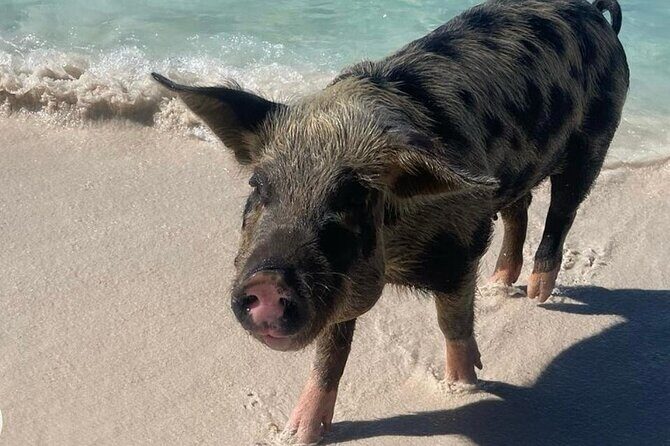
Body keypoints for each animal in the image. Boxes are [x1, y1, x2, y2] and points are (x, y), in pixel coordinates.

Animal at [152, 0, 628, 442]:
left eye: (353, 197)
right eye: (258, 184)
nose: (268, 283)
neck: (396, 252)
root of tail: (590, 12)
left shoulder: (463, 245)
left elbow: (453, 320)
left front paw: (463, 384)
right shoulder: (342, 284)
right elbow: (331, 352)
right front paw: (299, 433)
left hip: (596, 138)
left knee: (562, 211)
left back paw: (536, 293)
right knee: (520, 207)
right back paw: (498, 284)